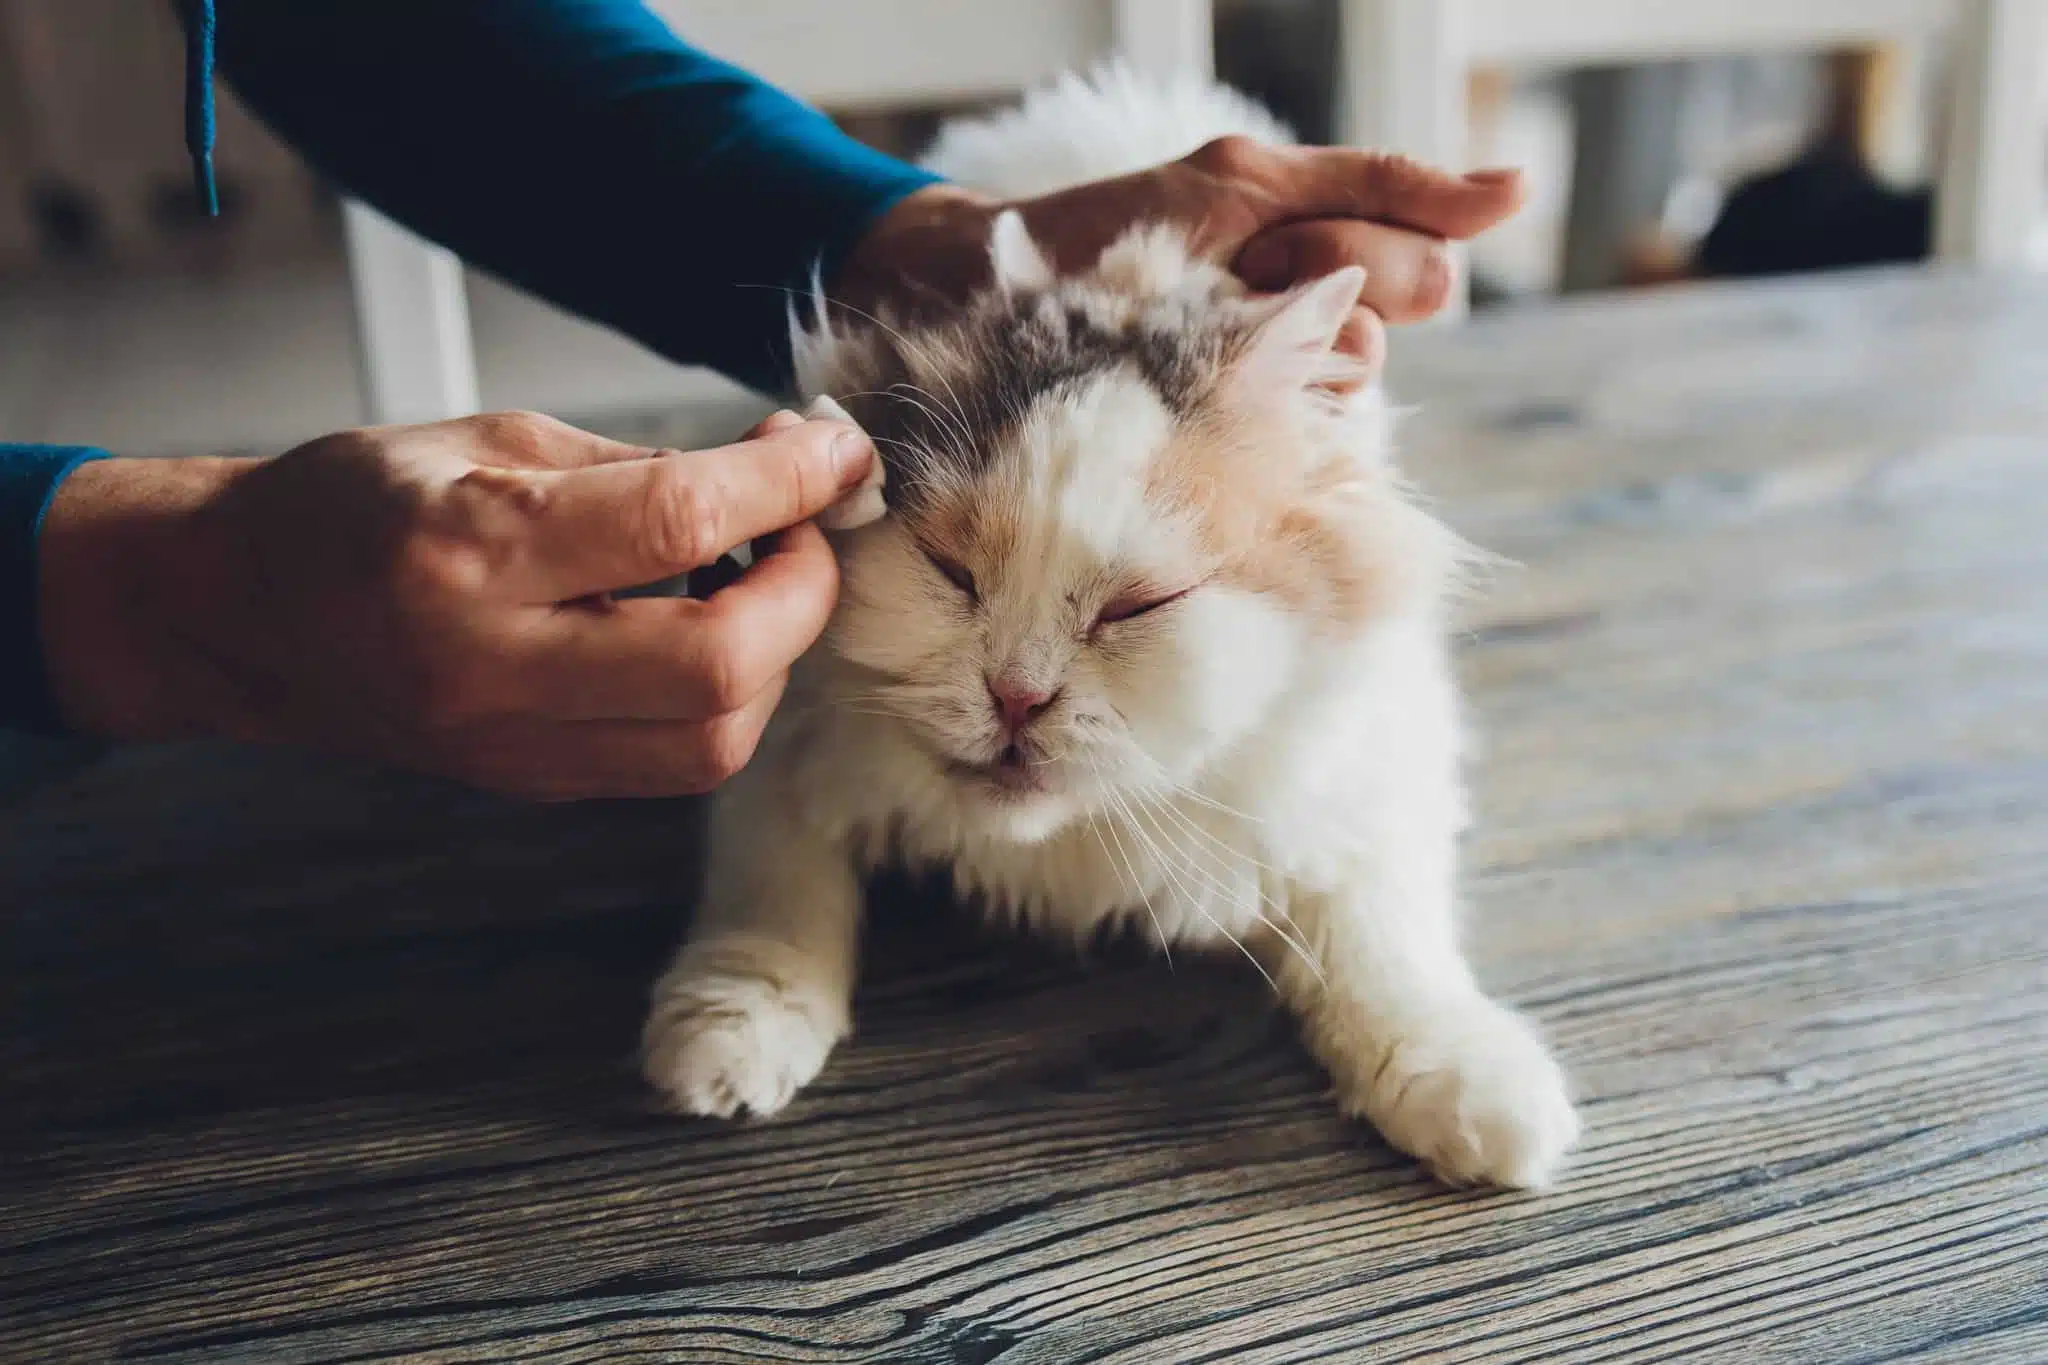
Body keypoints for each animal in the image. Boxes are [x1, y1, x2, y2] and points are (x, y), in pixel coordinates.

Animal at [643, 69, 1581, 1186]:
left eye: (1138, 606)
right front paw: (726, 1041)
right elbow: (772, 900)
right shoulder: (775, 746)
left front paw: (1475, 1097)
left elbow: (1387, 945)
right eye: (950, 571)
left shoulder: (1375, 772)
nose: (1016, 696)